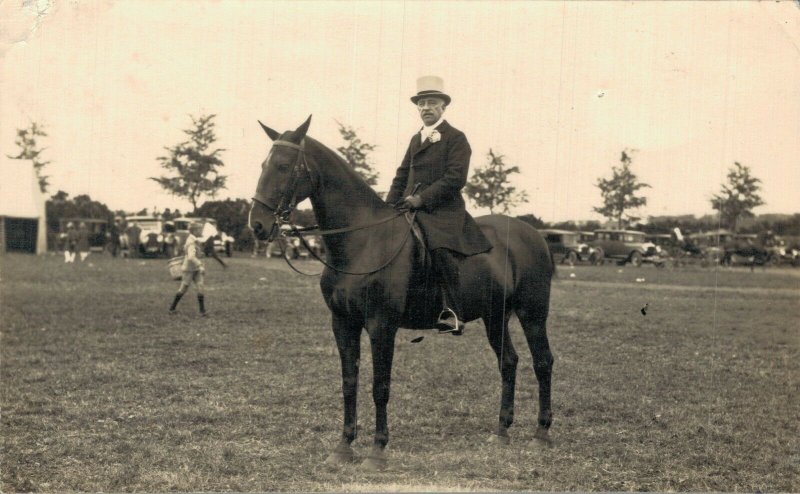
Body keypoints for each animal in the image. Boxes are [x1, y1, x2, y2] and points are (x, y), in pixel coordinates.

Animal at [250, 116, 556, 470]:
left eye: (284, 166)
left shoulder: (381, 325)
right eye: (263, 164)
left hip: (533, 313)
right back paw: (501, 431)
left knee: (543, 361)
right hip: (495, 316)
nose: (257, 225)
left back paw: (541, 433)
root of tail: (534, 234)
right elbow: (349, 383)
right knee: (508, 362)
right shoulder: (343, 323)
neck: (362, 242)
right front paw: (343, 447)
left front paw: (377, 451)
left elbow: (380, 386)